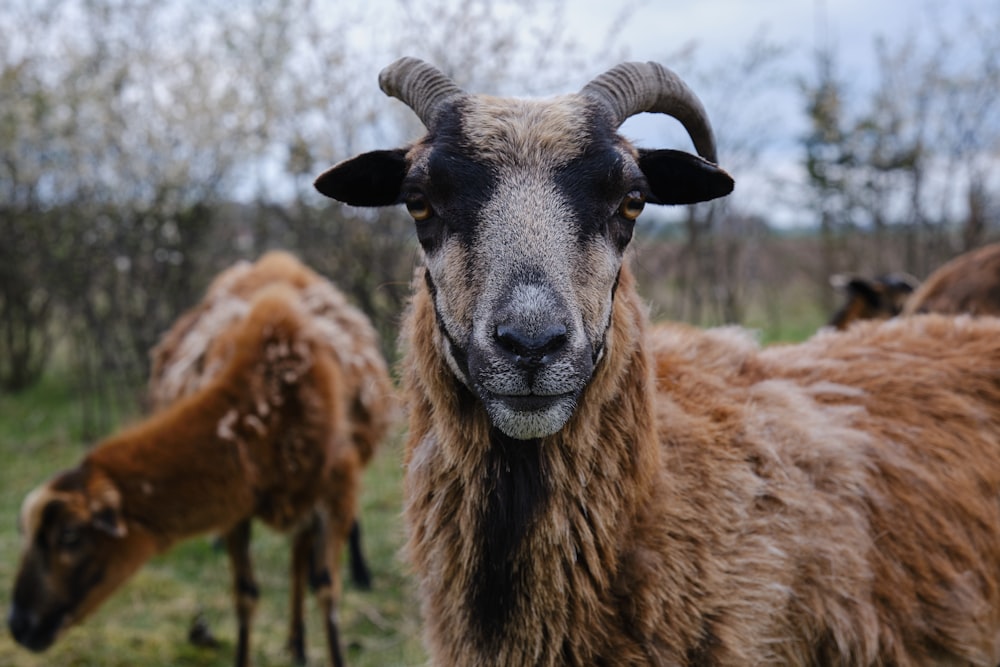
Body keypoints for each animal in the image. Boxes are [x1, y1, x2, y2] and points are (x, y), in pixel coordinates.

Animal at [10, 276, 394, 664]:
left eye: (70, 536)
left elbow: (328, 590)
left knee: (302, 558)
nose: (17, 625)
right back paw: (296, 642)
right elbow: (245, 595)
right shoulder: (237, 508)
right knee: (296, 556)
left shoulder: (337, 493)